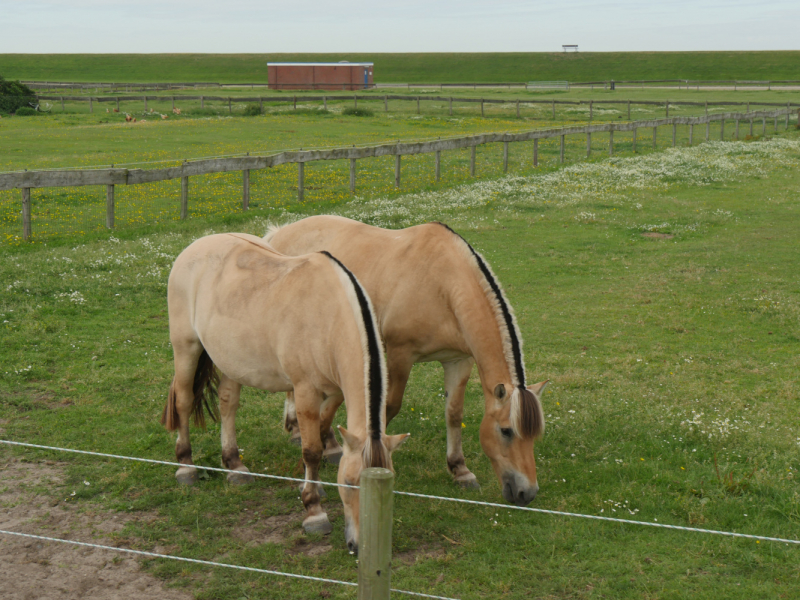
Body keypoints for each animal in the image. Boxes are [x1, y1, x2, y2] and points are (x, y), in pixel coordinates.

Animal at [164, 232, 412, 548]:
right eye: (349, 483)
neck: (330, 316)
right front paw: (314, 510)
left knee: (227, 405)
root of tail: (196, 246)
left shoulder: (334, 392)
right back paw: (186, 466)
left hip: (231, 360)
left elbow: (322, 429)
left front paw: (313, 486)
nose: (358, 546)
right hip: (186, 348)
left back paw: (234, 466)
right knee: (183, 402)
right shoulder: (305, 390)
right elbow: (311, 450)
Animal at [266, 216, 548, 506]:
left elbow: (454, 413)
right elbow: (389, 408)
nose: (527, 493)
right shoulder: (401, 355)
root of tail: (279, 233)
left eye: (535, 434)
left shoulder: (458, 360)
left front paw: (460, 470)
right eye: (506, 431)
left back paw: (318, 439)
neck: (444, 286)